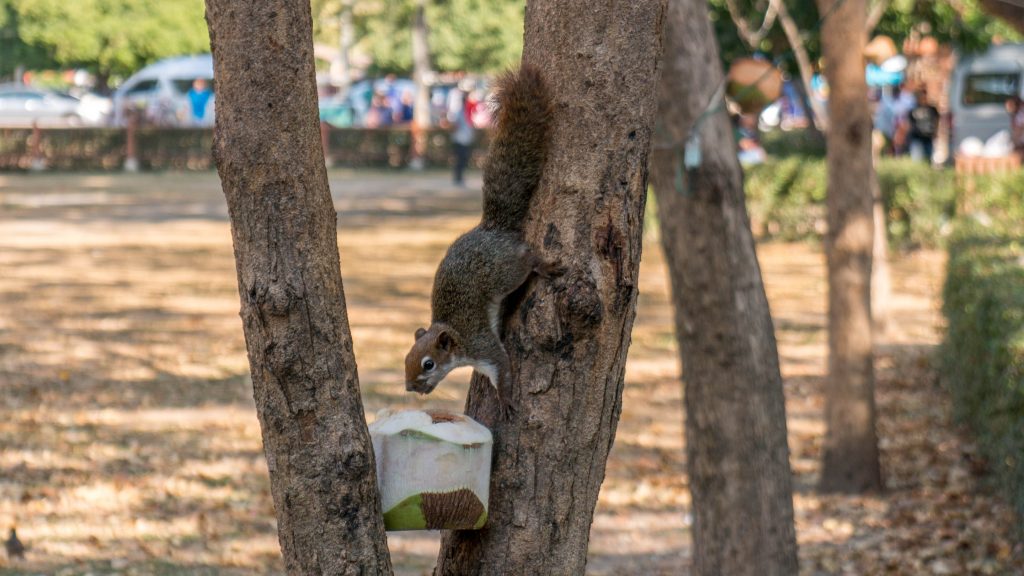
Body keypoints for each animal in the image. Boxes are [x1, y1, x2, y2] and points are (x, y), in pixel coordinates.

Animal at [405, 65, 552, 420]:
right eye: (406, 359)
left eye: (428, 364)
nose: (410, 387)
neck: (456, 339)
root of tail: (491, 229)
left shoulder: (482, 345)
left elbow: (502, 366)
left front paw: (506, 400)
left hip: (505, 272)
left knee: (524, 261)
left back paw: (541, 264)